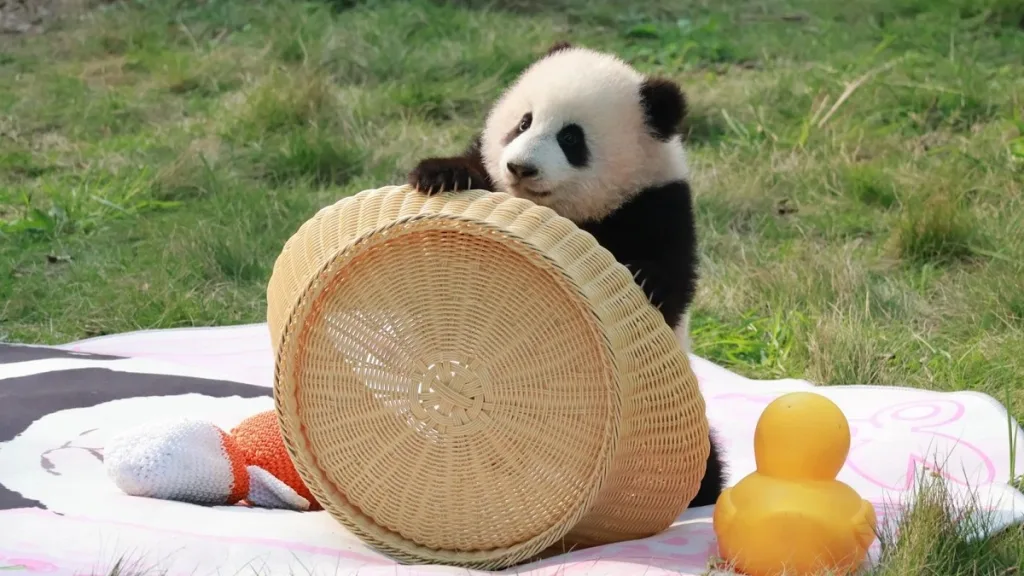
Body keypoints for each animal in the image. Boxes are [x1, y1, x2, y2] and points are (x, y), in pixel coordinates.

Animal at [406, 41, 725, 508]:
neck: (570, 210)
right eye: (523, 122)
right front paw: (441, 174)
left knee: (704, 466)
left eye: (571, 138)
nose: (520, 168)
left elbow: (670, 282)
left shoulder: (658, 205)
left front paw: (642, 282)